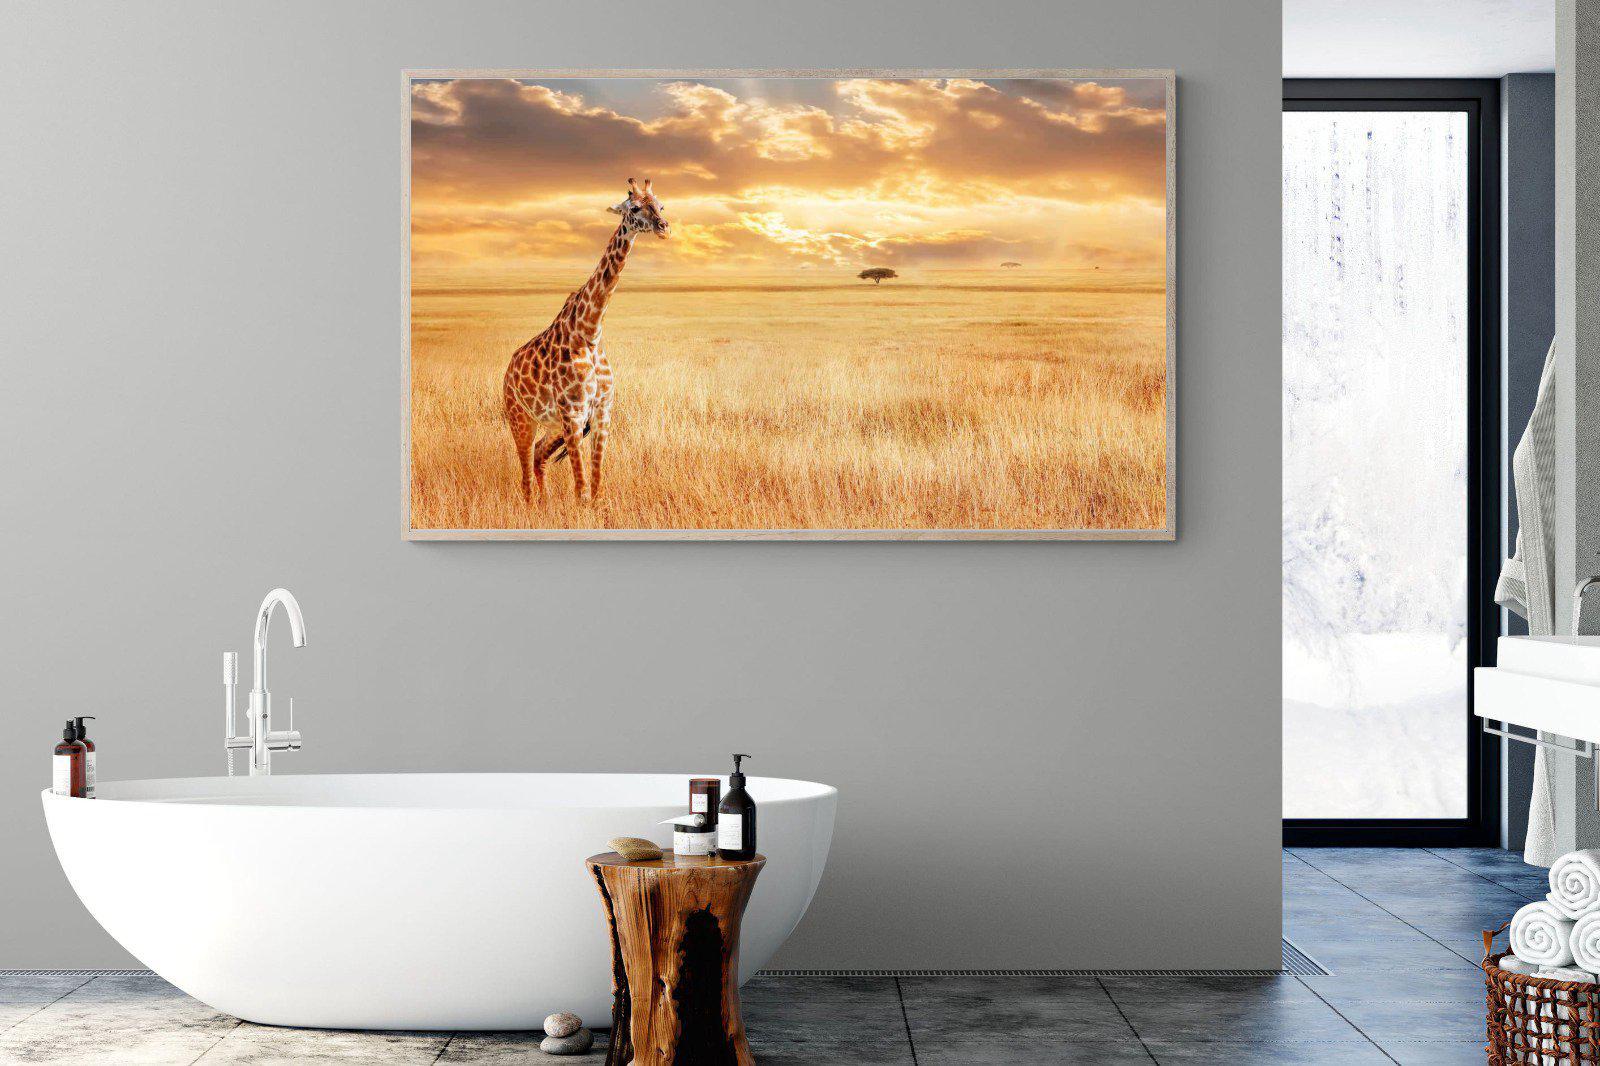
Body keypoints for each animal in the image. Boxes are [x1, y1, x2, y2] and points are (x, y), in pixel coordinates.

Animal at [502, 178, 670, 503]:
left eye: (661, 205)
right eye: (634, 208)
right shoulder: (574, 413)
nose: (663, 227)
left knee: (539, 456)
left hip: (554, 425)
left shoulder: (602, 412)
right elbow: (581, 490)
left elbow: (596, 485)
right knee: (525, 473)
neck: (590, 331)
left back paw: (546, 503)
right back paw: (533, 504)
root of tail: (507, 372)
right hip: (521, 418)